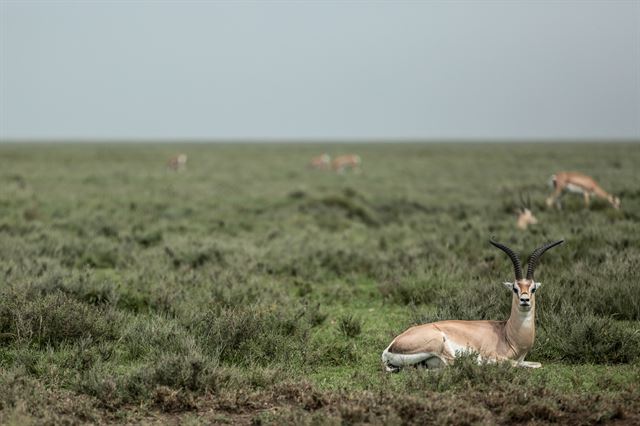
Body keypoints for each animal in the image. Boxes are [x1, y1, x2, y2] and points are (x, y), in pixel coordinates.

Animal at [382, 240, 564, 372]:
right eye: (515, 288)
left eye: (533, 288)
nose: (524, 300)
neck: (508, 334)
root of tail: (389, 348)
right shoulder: (493, 353)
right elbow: (513, 363)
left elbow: (536, 364)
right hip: (441, 343)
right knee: (455, 363)